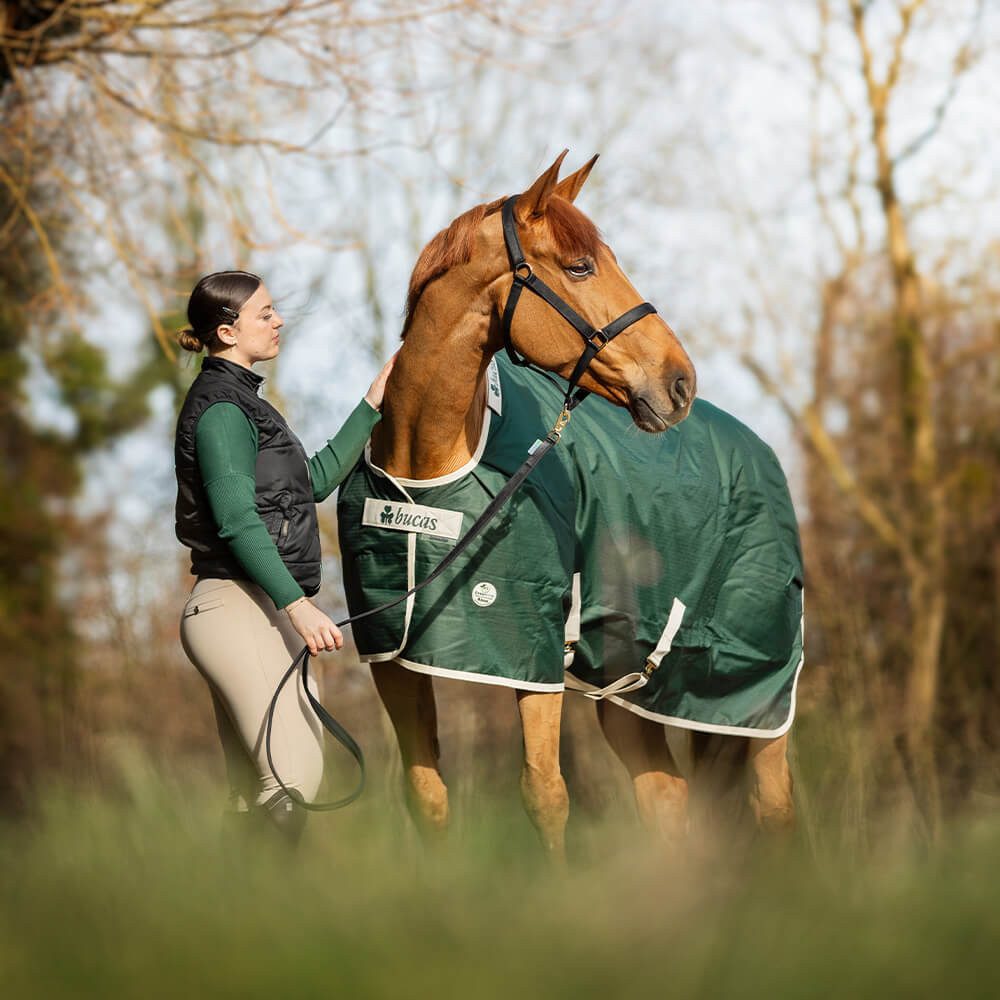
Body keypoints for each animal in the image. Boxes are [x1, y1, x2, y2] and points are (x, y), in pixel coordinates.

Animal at [337, 152, 802, 859]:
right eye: (581, 266)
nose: (680, 382)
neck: (427, 473)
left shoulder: (530, 657)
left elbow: (545, 795)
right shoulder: (393, 661)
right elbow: (427, 797)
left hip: (757, 695)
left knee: (773, 806)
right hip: (633, 690)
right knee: (666, 799)